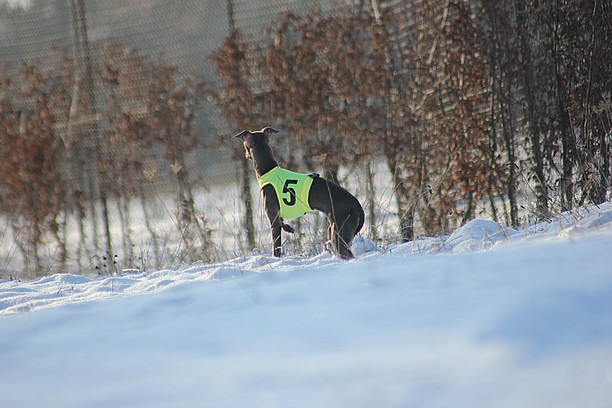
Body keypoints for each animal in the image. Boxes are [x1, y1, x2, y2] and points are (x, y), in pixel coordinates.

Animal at [235, 126, 364, 258]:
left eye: (244, 145)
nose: (246, 155)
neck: (269, 169)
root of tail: (357, 206)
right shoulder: (278, 216)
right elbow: (283, 223)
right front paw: (289, 228)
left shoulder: (273, 219)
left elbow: (276, 248)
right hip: (333, 228)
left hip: (338, 235)